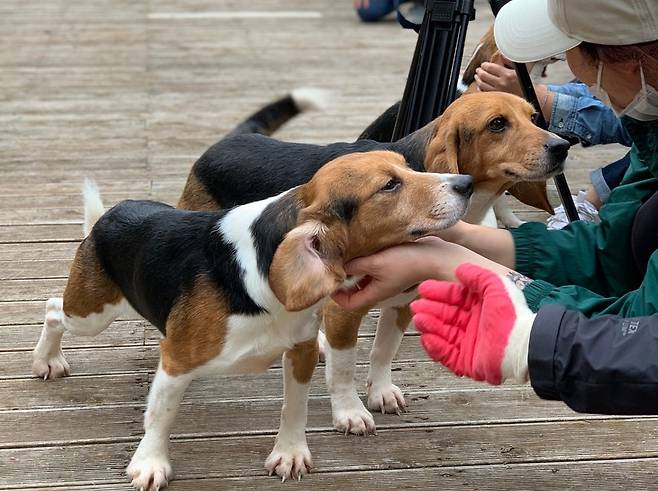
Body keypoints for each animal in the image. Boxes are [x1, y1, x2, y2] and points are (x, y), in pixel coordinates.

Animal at [32, 152, 472, 490]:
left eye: (408, 167)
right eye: (389, 186)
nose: (466, 182)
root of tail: (110, 214)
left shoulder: (300, 349)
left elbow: (294, 407)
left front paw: (289, 453)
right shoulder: (175, 359)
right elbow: (161, 416)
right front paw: (150, 463)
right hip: (90, 313)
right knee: (53, 308)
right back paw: (46, 360)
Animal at [176, 90, 568, 436]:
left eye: (533, 116)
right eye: (497, 124)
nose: (562, 146)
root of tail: (227, 141)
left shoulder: (402, 301)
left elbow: (383, 351)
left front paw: (380, 391)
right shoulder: (343, 312)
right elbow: (344, 369)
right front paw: (349, 411)